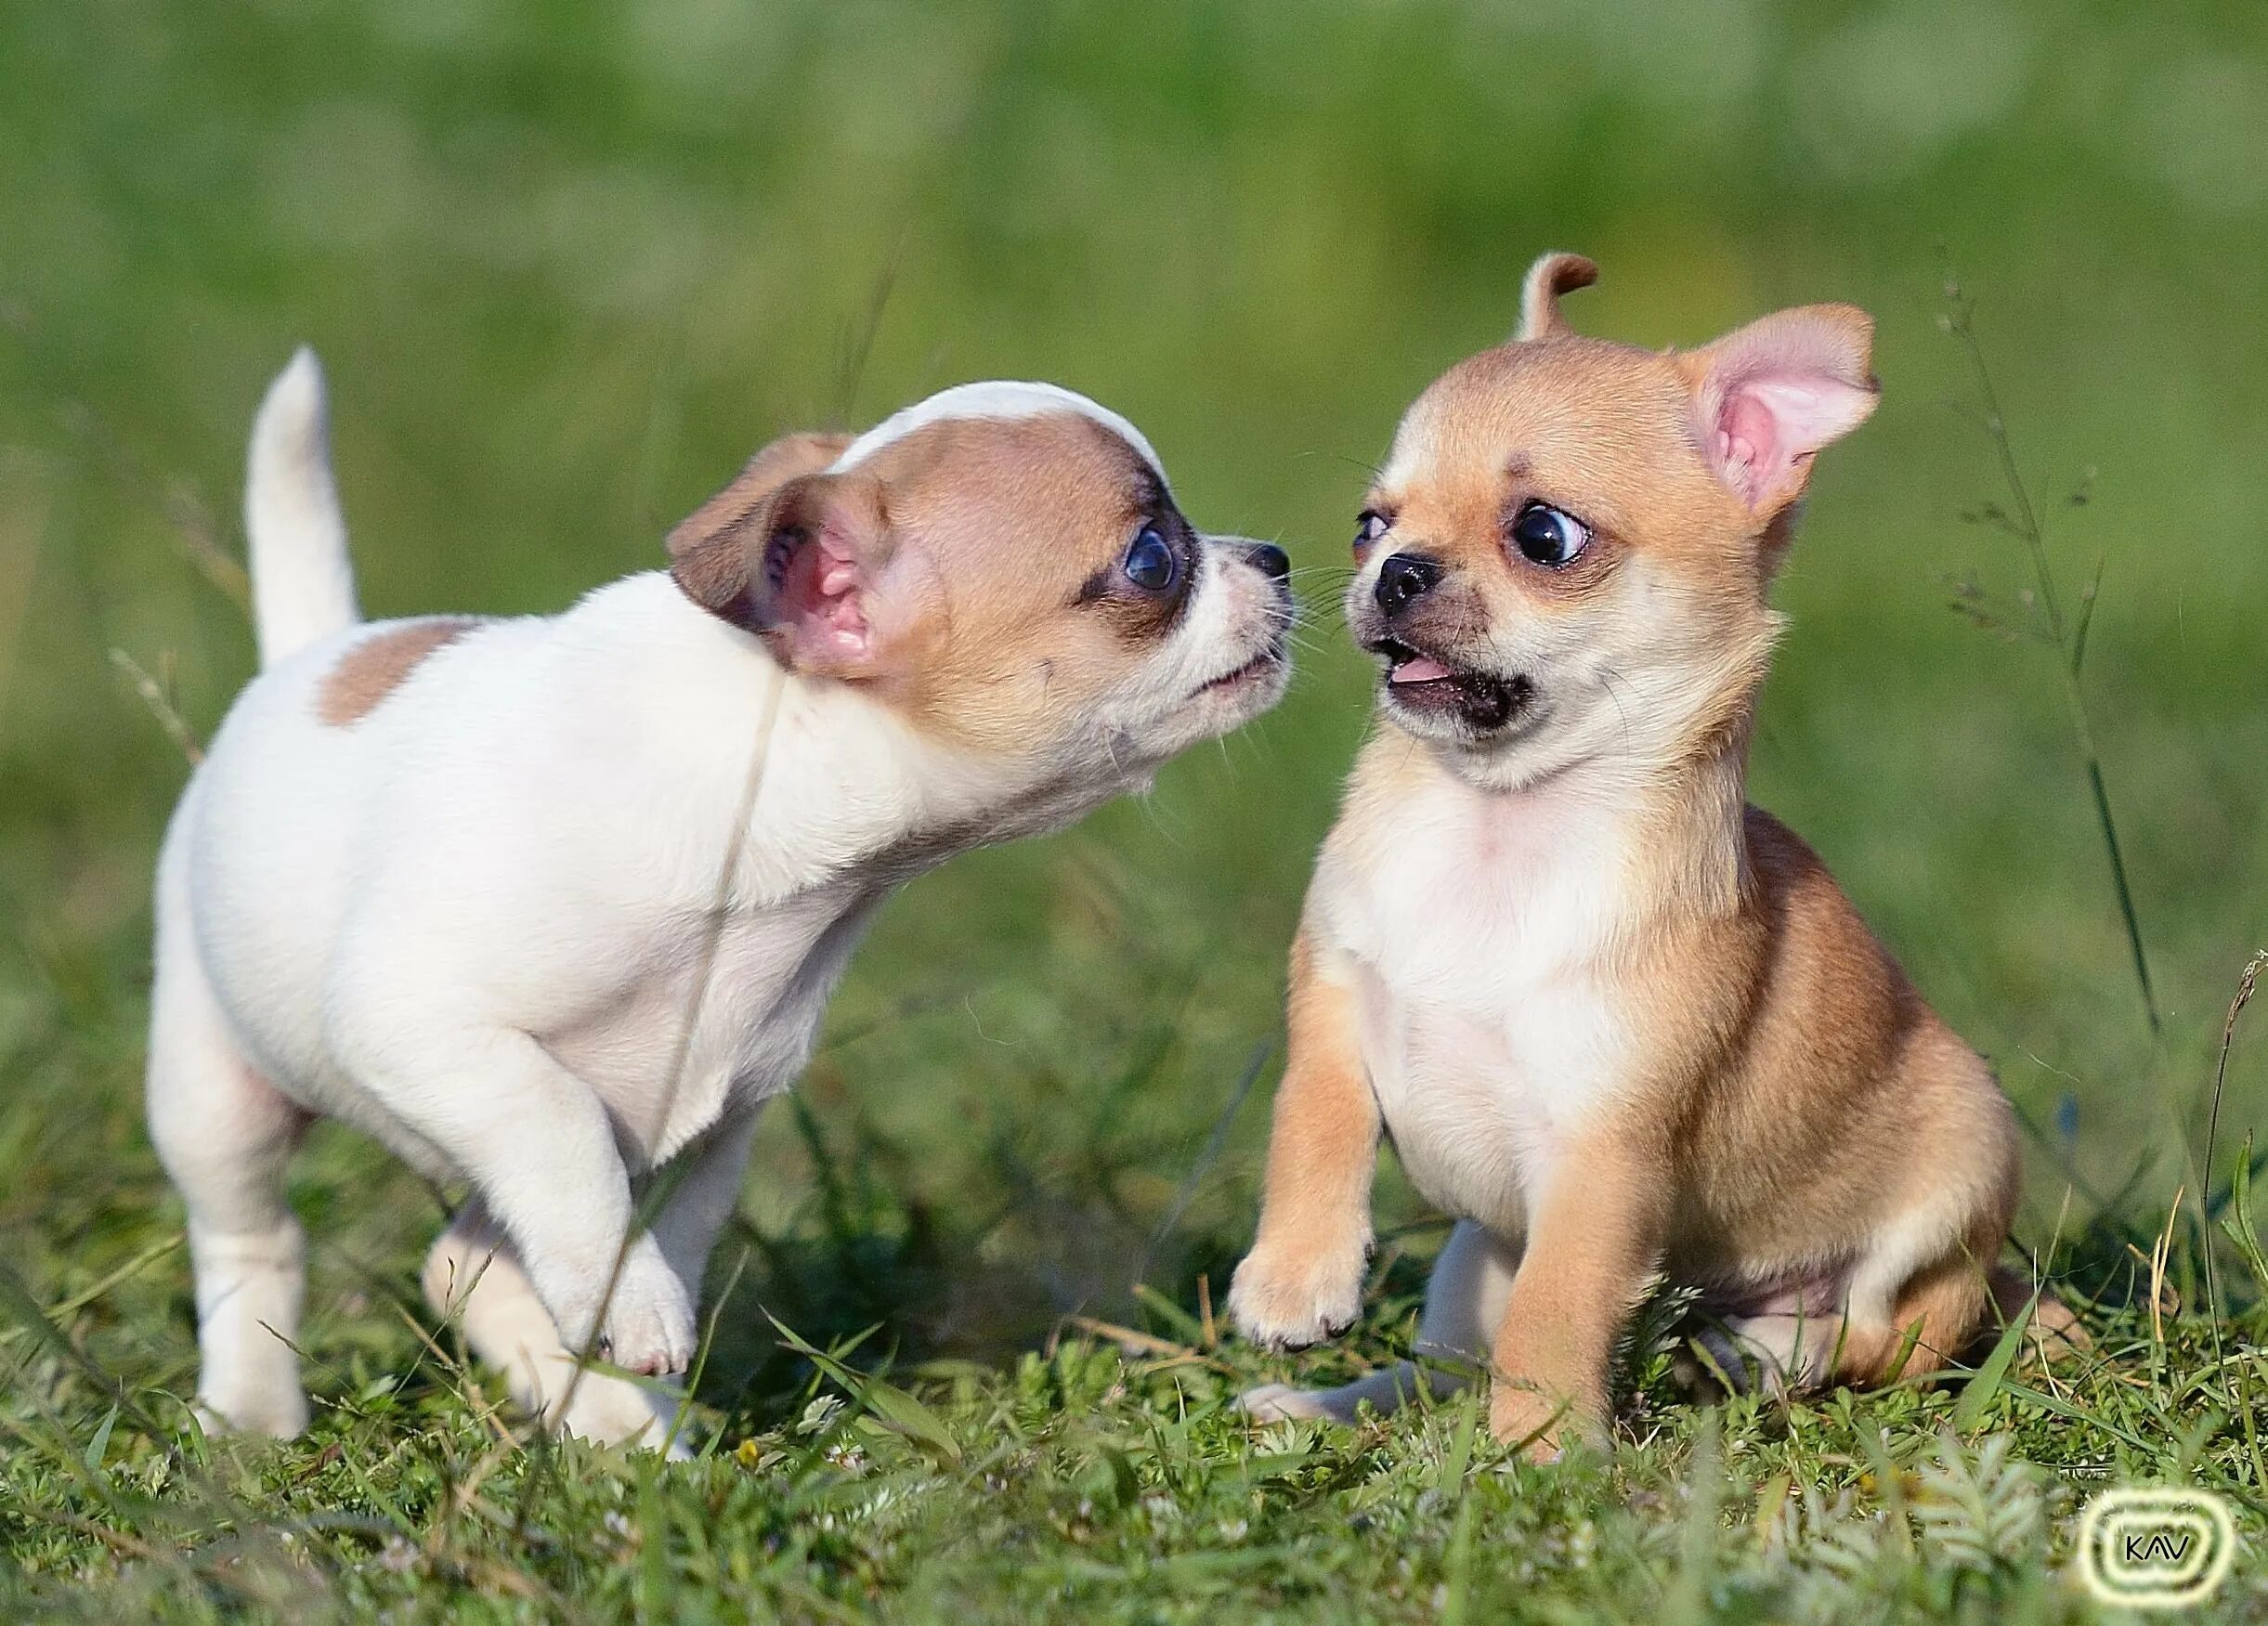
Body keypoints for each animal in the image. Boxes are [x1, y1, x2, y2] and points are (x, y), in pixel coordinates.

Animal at [150, 351, 1297, 1442]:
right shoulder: (426, 1026)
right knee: (256, 1238)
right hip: (217, 1099)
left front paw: (631, 1366)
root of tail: (310, 654)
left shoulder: (703, 1133)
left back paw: (615, 1430)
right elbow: (561, 1127)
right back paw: (252, 1412)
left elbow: (640, 1226)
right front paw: (630, 1311)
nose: (1276, 557)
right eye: (1151, 559)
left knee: (465, 1261)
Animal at [1233, 259, 2050, 1450]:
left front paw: (1536, 1456)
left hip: (1962, 1173)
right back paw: (1321, 1403)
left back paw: (1768, 1352)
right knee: (1440, 1371)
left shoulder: (1603, 1150)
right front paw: (1294, 1277)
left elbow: (1558, 1307)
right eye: (1367, 523)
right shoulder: (1336, 992)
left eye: (1544, 536)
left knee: (1873, 1338)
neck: (1496, 822)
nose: (1395, 570)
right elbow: (1313, 1114)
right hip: (1468, 1260)